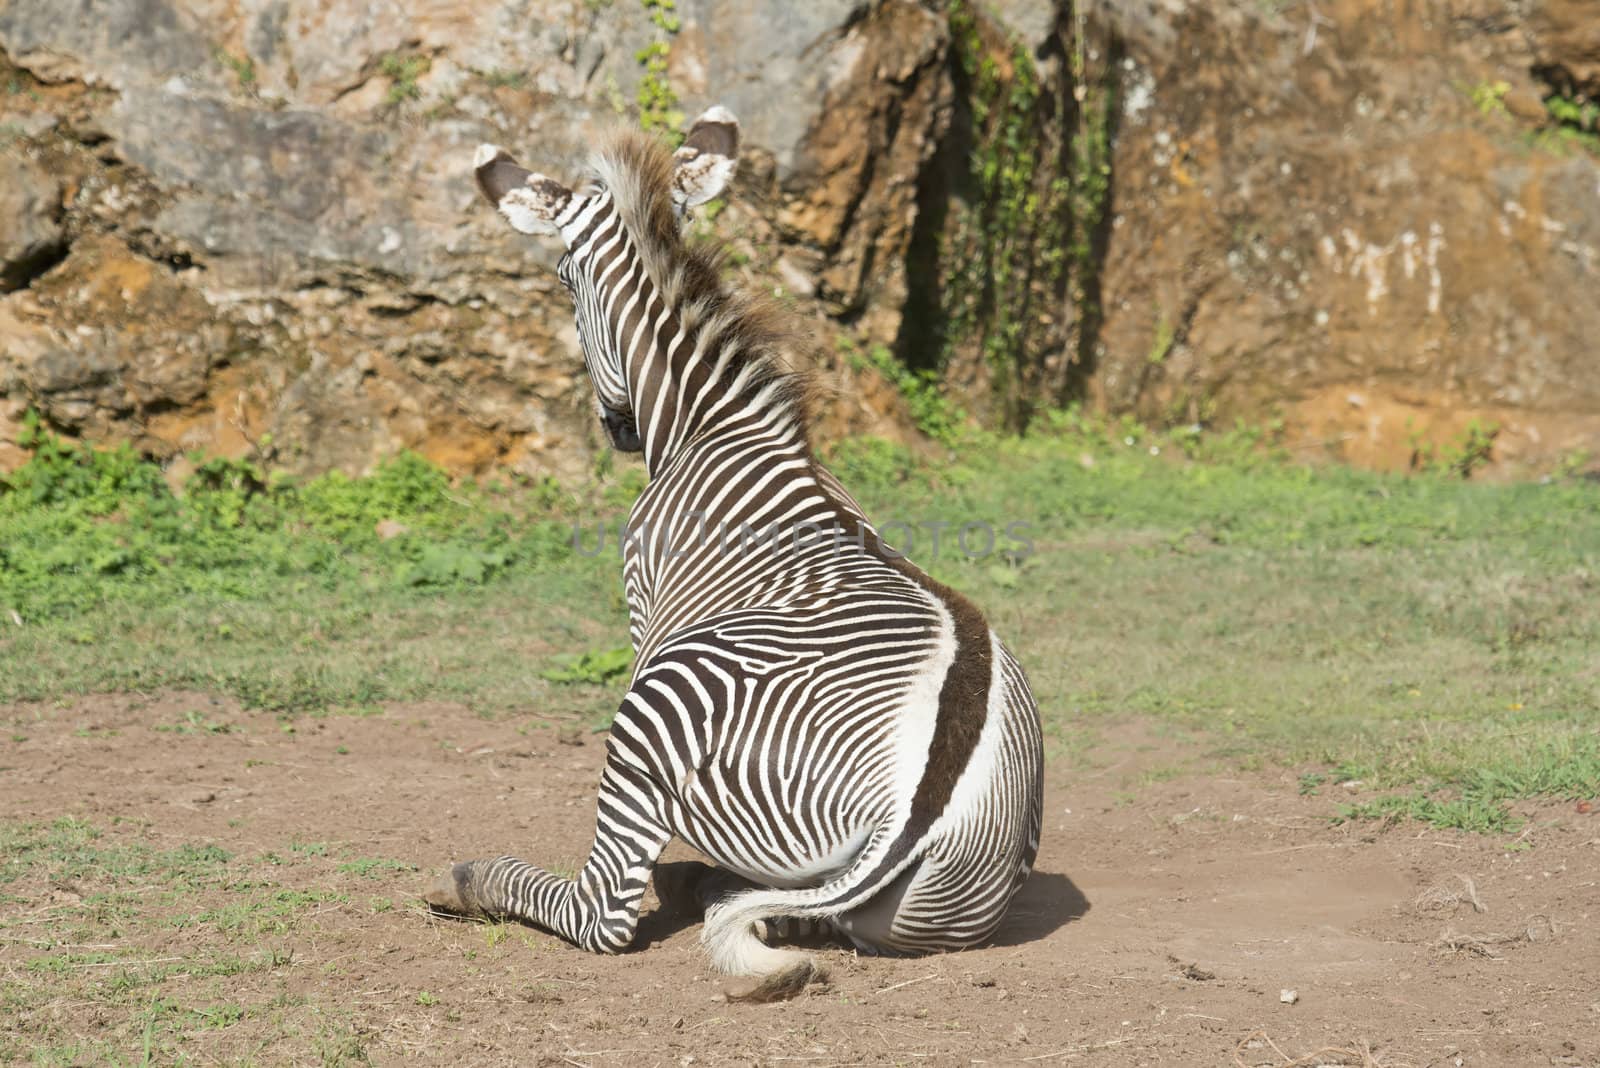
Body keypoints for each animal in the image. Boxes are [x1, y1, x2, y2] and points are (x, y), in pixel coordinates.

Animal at [422, 108, 1049, 1004]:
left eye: (564, 282)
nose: (618, 429)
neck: (712, 423)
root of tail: (909, 812)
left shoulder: (644, 601)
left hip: (655, 710)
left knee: (603, 911)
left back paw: (472, 879)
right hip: (916, 905)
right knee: (777, 912)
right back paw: (697, 884)